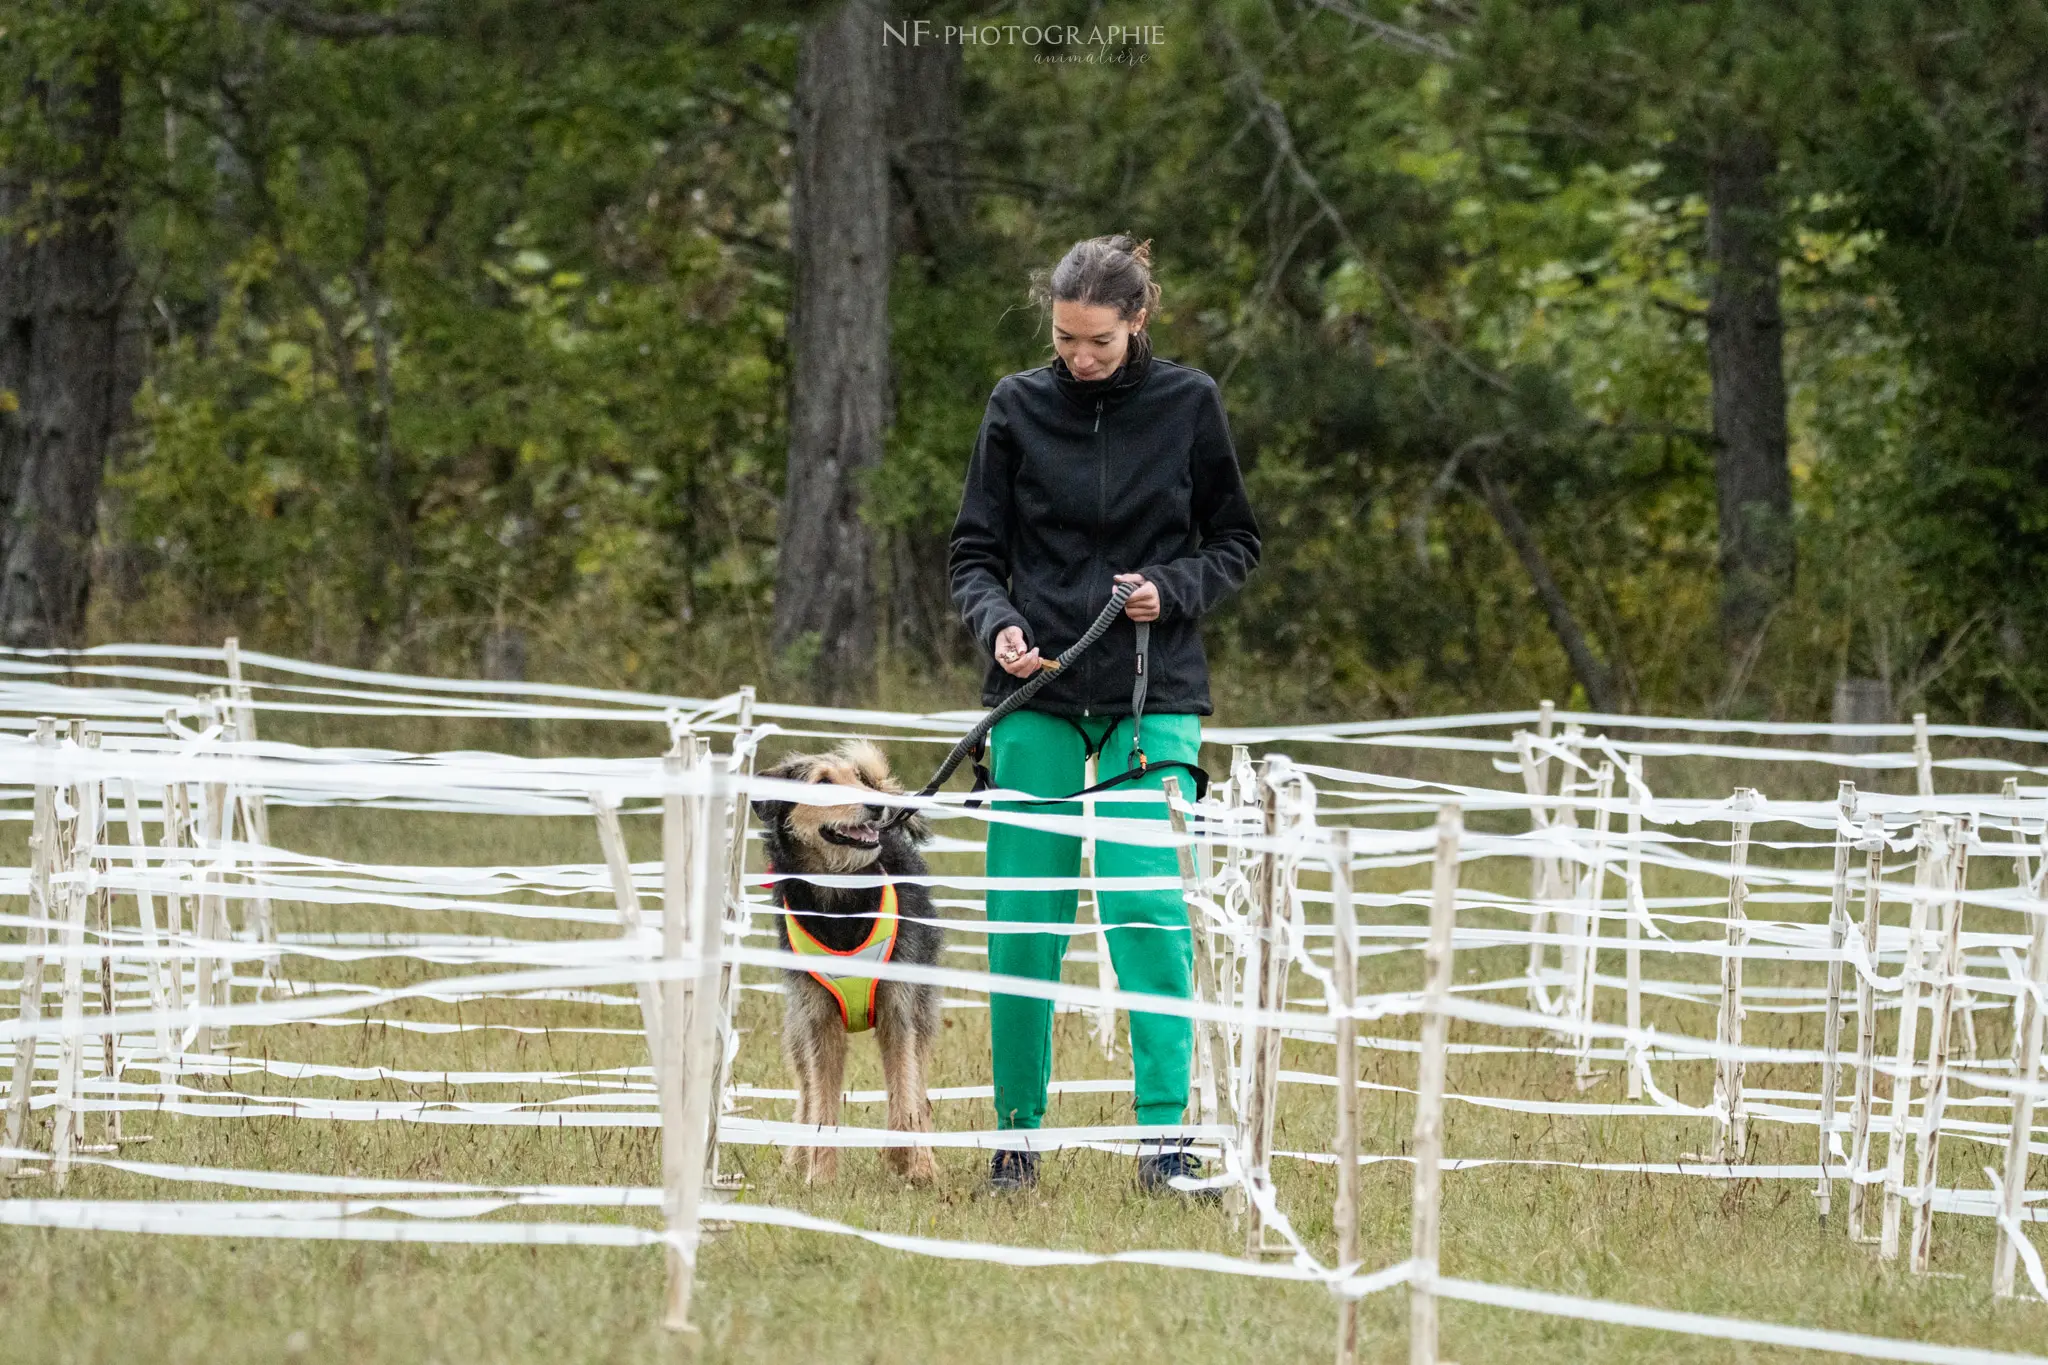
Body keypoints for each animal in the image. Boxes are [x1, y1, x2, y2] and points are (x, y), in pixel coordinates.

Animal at [753, 736, 942, 1186]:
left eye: (857, 779)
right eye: (822, 782)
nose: (875, 805)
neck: (842, 901)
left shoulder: (897, 1007)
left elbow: (905, 1095)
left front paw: (909, 1163)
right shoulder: (819, 1018)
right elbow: (821, 1105)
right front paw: (819, 1176)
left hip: (922, 1009)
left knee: (918, 1091)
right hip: (797, 1026)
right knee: (805, 1096)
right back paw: (795, 1160)